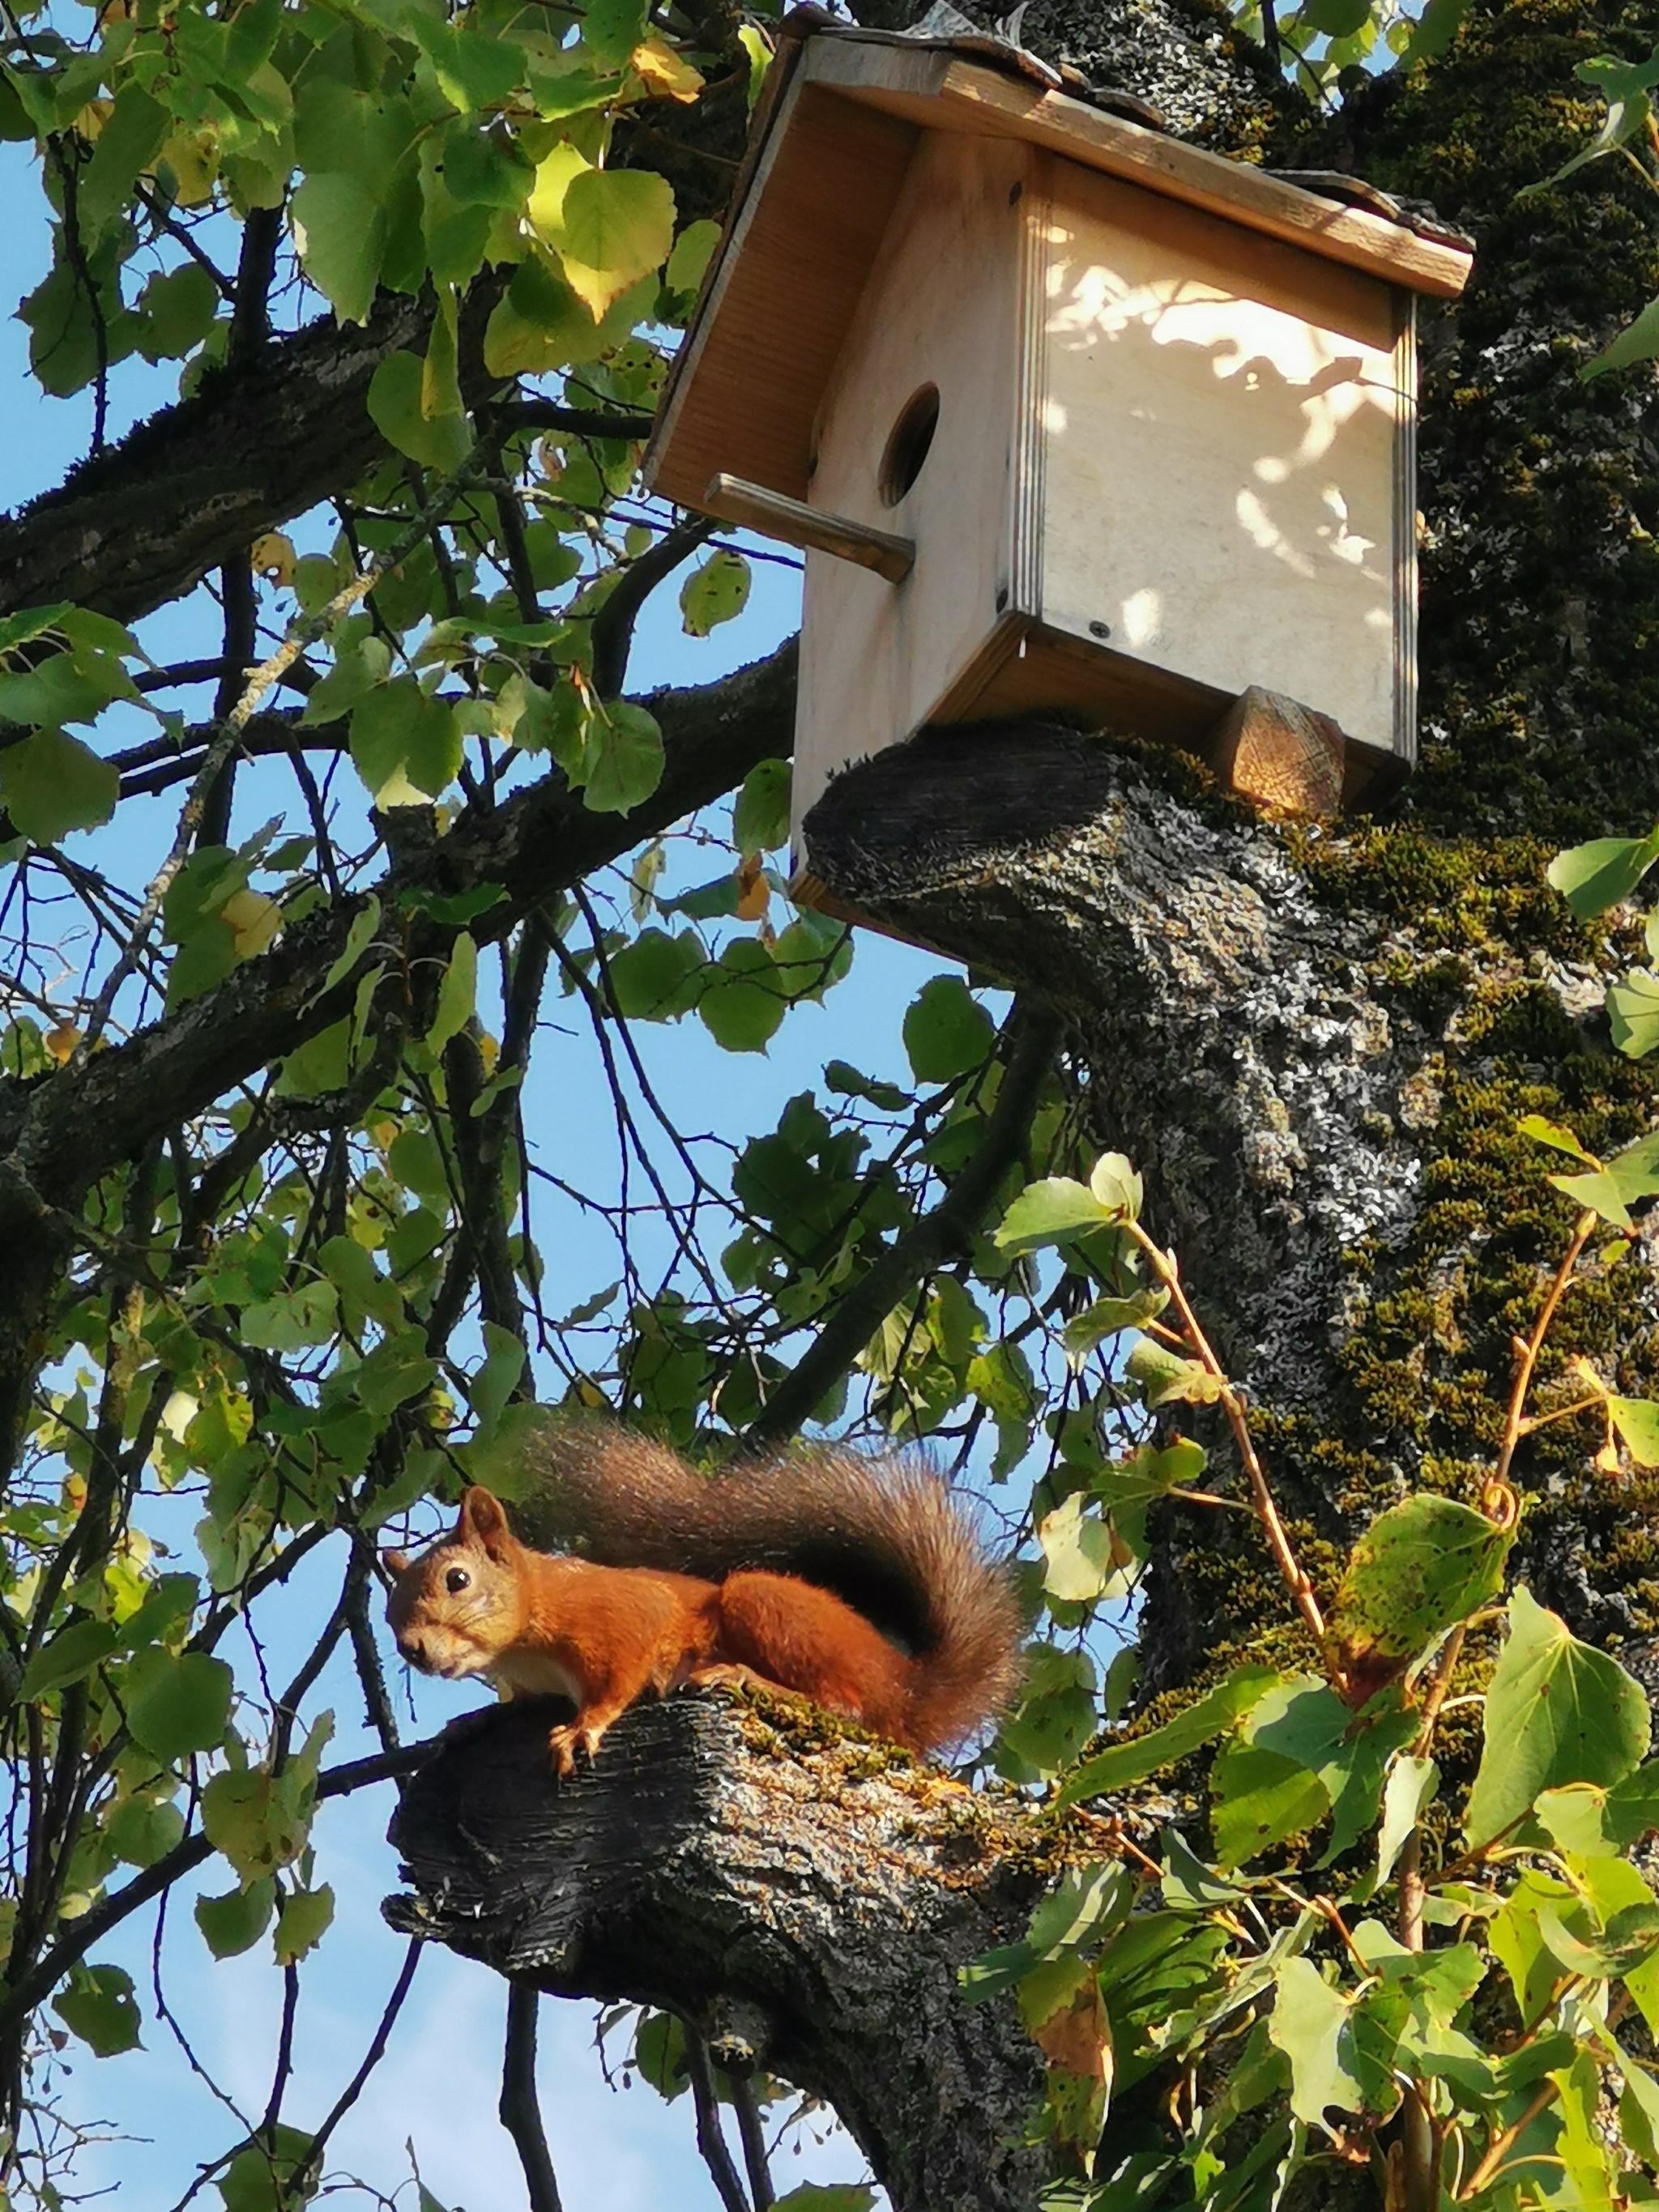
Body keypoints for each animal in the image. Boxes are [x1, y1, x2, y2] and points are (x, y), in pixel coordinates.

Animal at [386, 1415, 1026, 1778]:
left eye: (457, 1580)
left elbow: (617, 1678)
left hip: (764, 1604)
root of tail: (907, 1685)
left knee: (844, 1705)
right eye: (390, 1614)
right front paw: (464, 1725)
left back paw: (741, 1675)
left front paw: (581, 1728)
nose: (413, 1647)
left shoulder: (620, 1616)